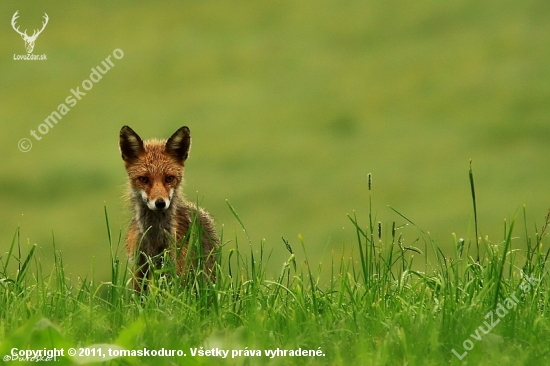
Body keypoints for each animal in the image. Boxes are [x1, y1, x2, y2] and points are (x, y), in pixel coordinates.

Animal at [119, 126, 219, 292]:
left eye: (169, 178)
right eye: (143, 179)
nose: (160, 203)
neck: (154, 237)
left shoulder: (174, 267)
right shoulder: (139, 269)